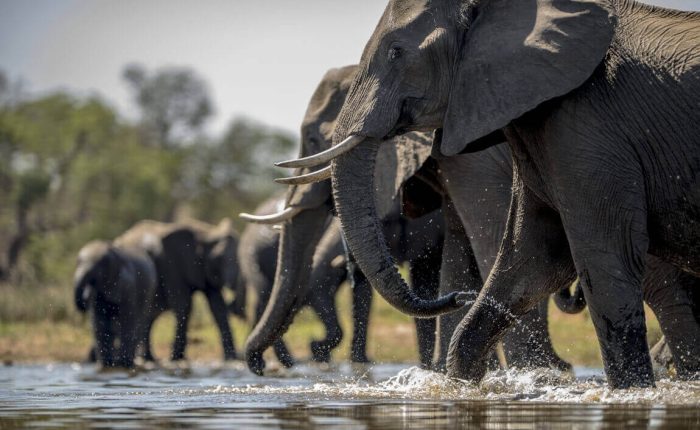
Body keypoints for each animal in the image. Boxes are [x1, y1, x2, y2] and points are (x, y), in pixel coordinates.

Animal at [114, 218, 243, 362]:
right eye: (218, 258)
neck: (206, 233)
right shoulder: (172, 264)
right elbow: (184, 304)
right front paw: (176, 358)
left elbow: (218, 307)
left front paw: (231, 358)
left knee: (149, 317)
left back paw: (149, 358)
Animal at [243, 65, 573, 375]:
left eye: (313, 140)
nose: (261, 367)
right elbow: (455, 253)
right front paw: (443, 374)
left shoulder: (475, 161)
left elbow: (492, 242)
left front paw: (533, 372)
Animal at [290, 0, 700, 388]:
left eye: (395, 52)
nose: (459, 299)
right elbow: (531, 258)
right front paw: (470, 381)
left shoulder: (586, 129)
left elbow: (601, 256)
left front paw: (622, 390)